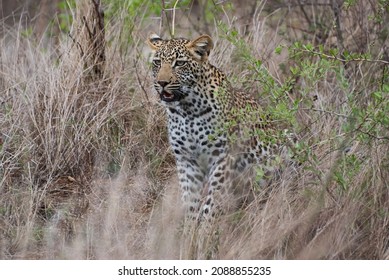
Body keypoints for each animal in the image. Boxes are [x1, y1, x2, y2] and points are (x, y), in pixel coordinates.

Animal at [147, 33, 292, 221]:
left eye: (179, 63)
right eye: (157, 62)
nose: (162, 82)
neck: (187, 110)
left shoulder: (223, 158)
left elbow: (211, 203)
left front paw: (206, 228)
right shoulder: (186, 161)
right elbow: (190, 202)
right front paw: (189, 227)